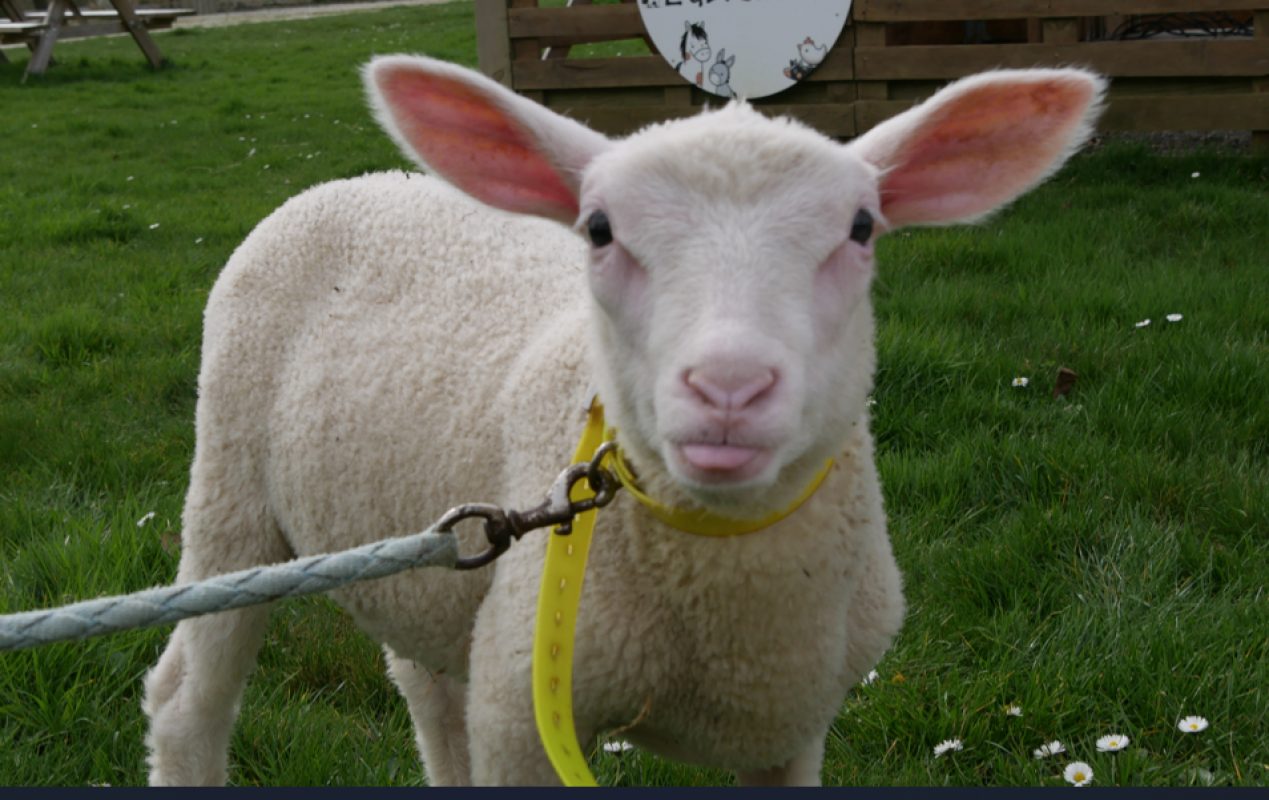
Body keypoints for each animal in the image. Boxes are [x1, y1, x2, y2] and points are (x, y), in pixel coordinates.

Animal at [141, 55, 1105, 786]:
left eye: (861, 228)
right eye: (598, 229)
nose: (727, 388)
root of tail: (355, 180)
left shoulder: (791, 727)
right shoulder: (524, 711)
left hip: (428, 562)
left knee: (427, 693)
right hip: (229, 484)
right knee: (187, 697)